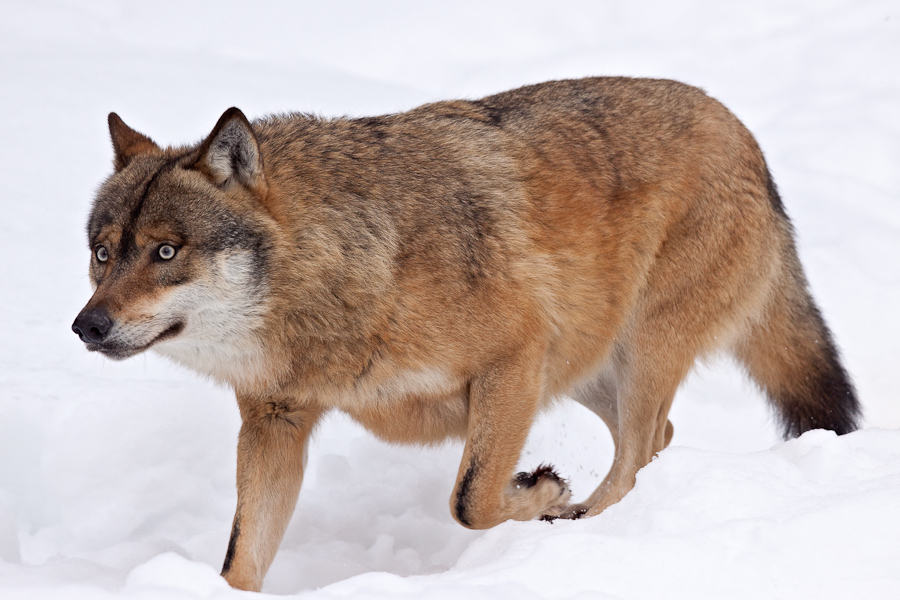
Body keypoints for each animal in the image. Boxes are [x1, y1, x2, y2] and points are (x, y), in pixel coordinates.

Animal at [70, 77, 856, 592]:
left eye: (165, 251)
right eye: (104, 253)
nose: (86, 325)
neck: (353, 269)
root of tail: (743, 133)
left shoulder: (513, 361)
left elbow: (470, 500)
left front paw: (542, 494)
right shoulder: (275, 422)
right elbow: (241, 560)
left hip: (629, 355)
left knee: (634, 455)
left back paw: (578, 530)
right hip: (584, 366)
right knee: (656, 443)